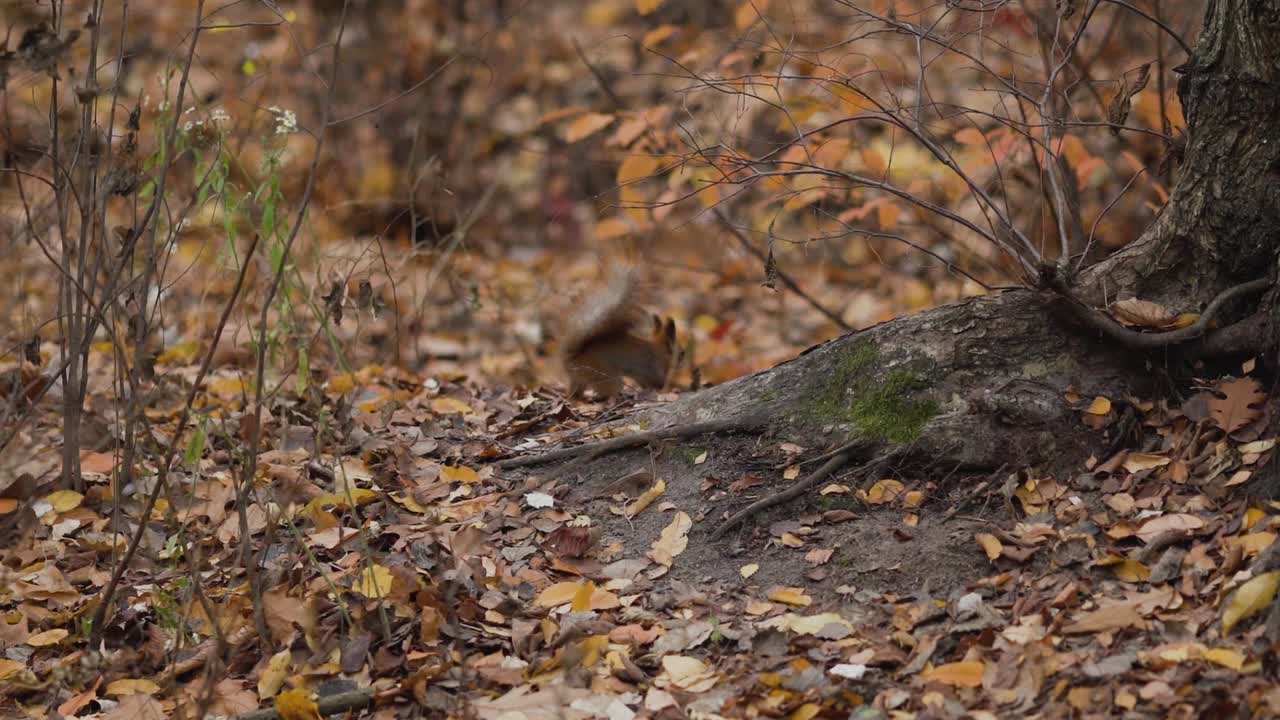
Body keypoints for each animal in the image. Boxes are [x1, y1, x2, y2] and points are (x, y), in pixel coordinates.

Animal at [558, 266, 678, 398]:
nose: (682, 357)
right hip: (607, 378)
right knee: (605, 393)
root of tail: (572, 360)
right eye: (681, 351)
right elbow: (655, 381)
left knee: (574, 394)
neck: (658, 349)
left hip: (580, 380)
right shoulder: (652, 368)